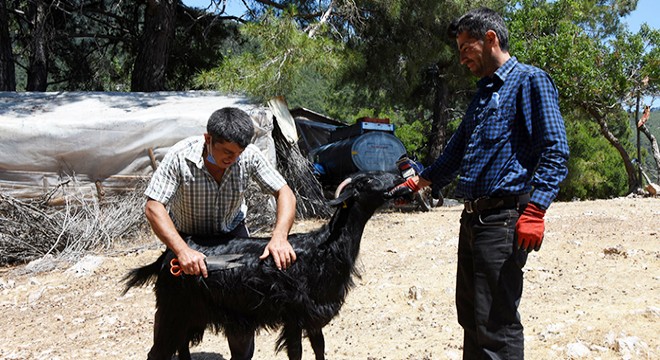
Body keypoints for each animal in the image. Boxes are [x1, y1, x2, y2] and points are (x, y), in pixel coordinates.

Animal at [122, 171, 402, 360]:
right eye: (367, 181)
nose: (398, 175)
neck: (323, 248)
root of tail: (168, 255)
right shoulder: (294, 315)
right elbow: (297, 352)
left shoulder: (314, 316)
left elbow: (320, 348)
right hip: (173, 310)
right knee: (159, 351)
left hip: (190, 313)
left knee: (181, 346)